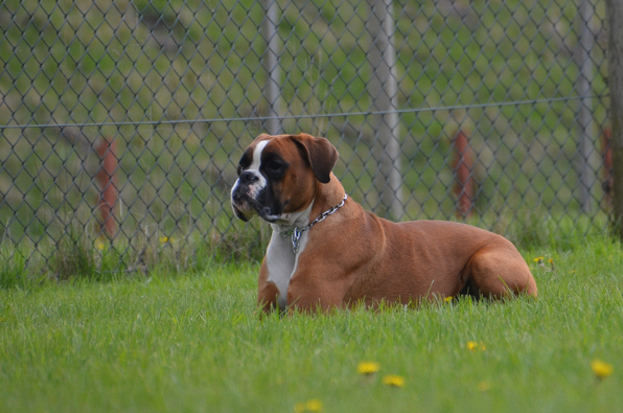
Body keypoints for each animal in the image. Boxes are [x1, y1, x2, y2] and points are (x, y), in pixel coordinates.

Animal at [232, 134, 540, 310]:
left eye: (275, 165)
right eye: (241, 165)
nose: (245, 178)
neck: (297, 231)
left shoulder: (309, 310)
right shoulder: (265, 312)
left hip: (485, 261)